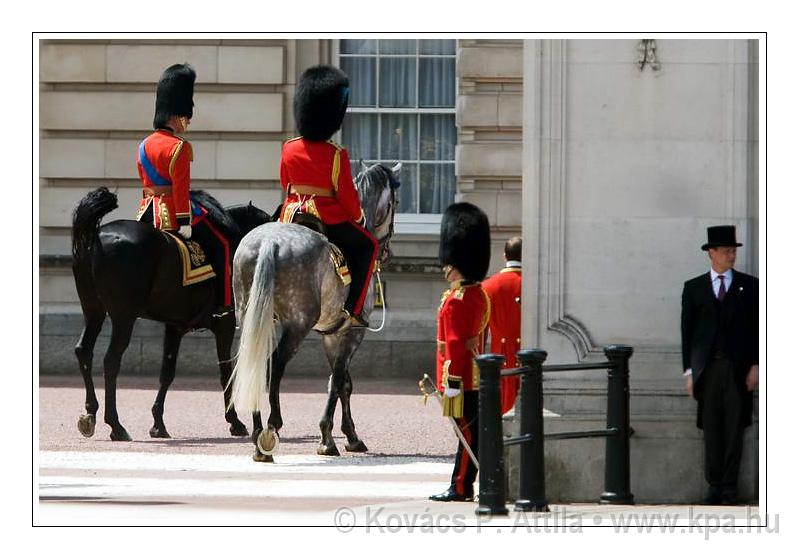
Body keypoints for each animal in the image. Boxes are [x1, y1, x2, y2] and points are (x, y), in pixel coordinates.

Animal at [72, 188, 272, 442]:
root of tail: (96, 235)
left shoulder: (174, 326)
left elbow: (167, 372)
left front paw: (158, 424)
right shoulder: (225, 323)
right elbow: (226, 371)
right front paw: (235, 421)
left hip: (93, 310)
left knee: (84, 351)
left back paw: (90, 414)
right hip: (123, 317)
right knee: (110, 360)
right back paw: (115, 425)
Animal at [228, 161, 400, 460]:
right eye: (395, 202)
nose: (387, 250)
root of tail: (269, 242)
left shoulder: (331, 334)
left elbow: (342, 382)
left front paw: (347, 435)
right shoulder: (350, 333)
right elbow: (340, 381)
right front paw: (331, 438)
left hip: (255, 320)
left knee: (255, 363)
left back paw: (257, 433)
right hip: (296, 326)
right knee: (275, 366)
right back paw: (271, 426)